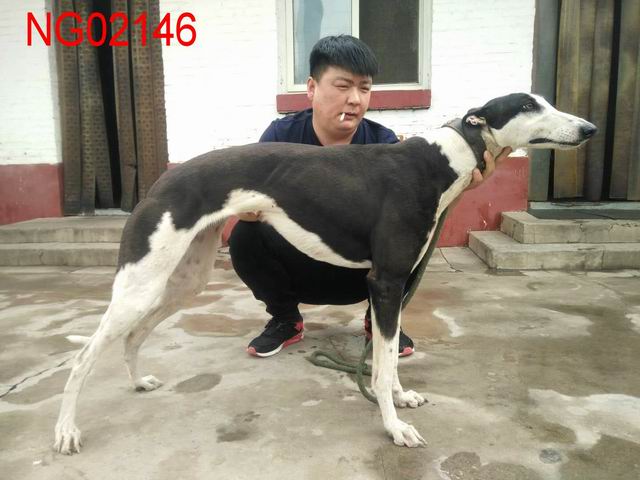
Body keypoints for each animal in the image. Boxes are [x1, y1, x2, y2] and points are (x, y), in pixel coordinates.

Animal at [53, 93, 596, 453]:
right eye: (529, 106)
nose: (589, 129)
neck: (443, 158)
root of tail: (161, 179)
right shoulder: (385, 282)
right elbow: (381, 366)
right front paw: (393, 427)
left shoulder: (397, 286)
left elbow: (386, 361)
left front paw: (401, 397)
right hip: (142, 283)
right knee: (81, 359)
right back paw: (65, 431)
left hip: (183, 280)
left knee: (132, 336)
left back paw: (138, 382)